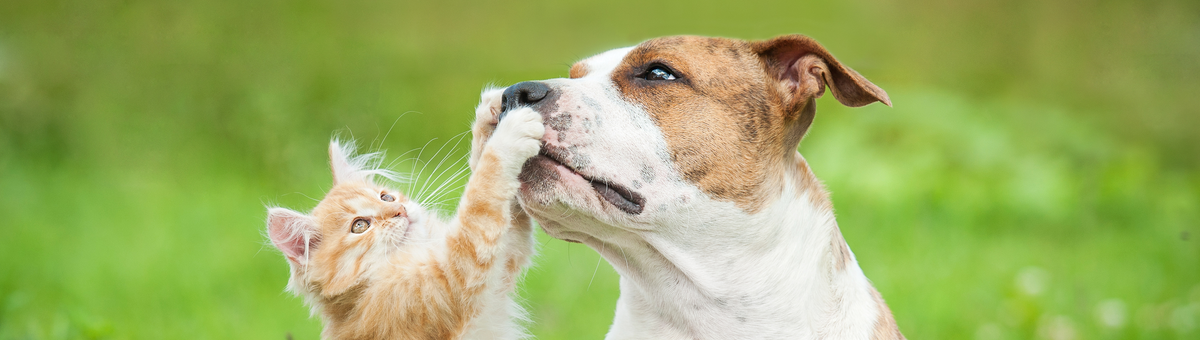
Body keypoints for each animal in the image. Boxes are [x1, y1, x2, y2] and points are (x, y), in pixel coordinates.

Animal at [266, 107, 544, 340]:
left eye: (386, 197)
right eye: (359, 226)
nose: (399, 210)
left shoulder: (504, 262)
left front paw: (490, 113)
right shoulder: (454, 276)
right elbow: (483, 188)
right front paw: (511, 131)